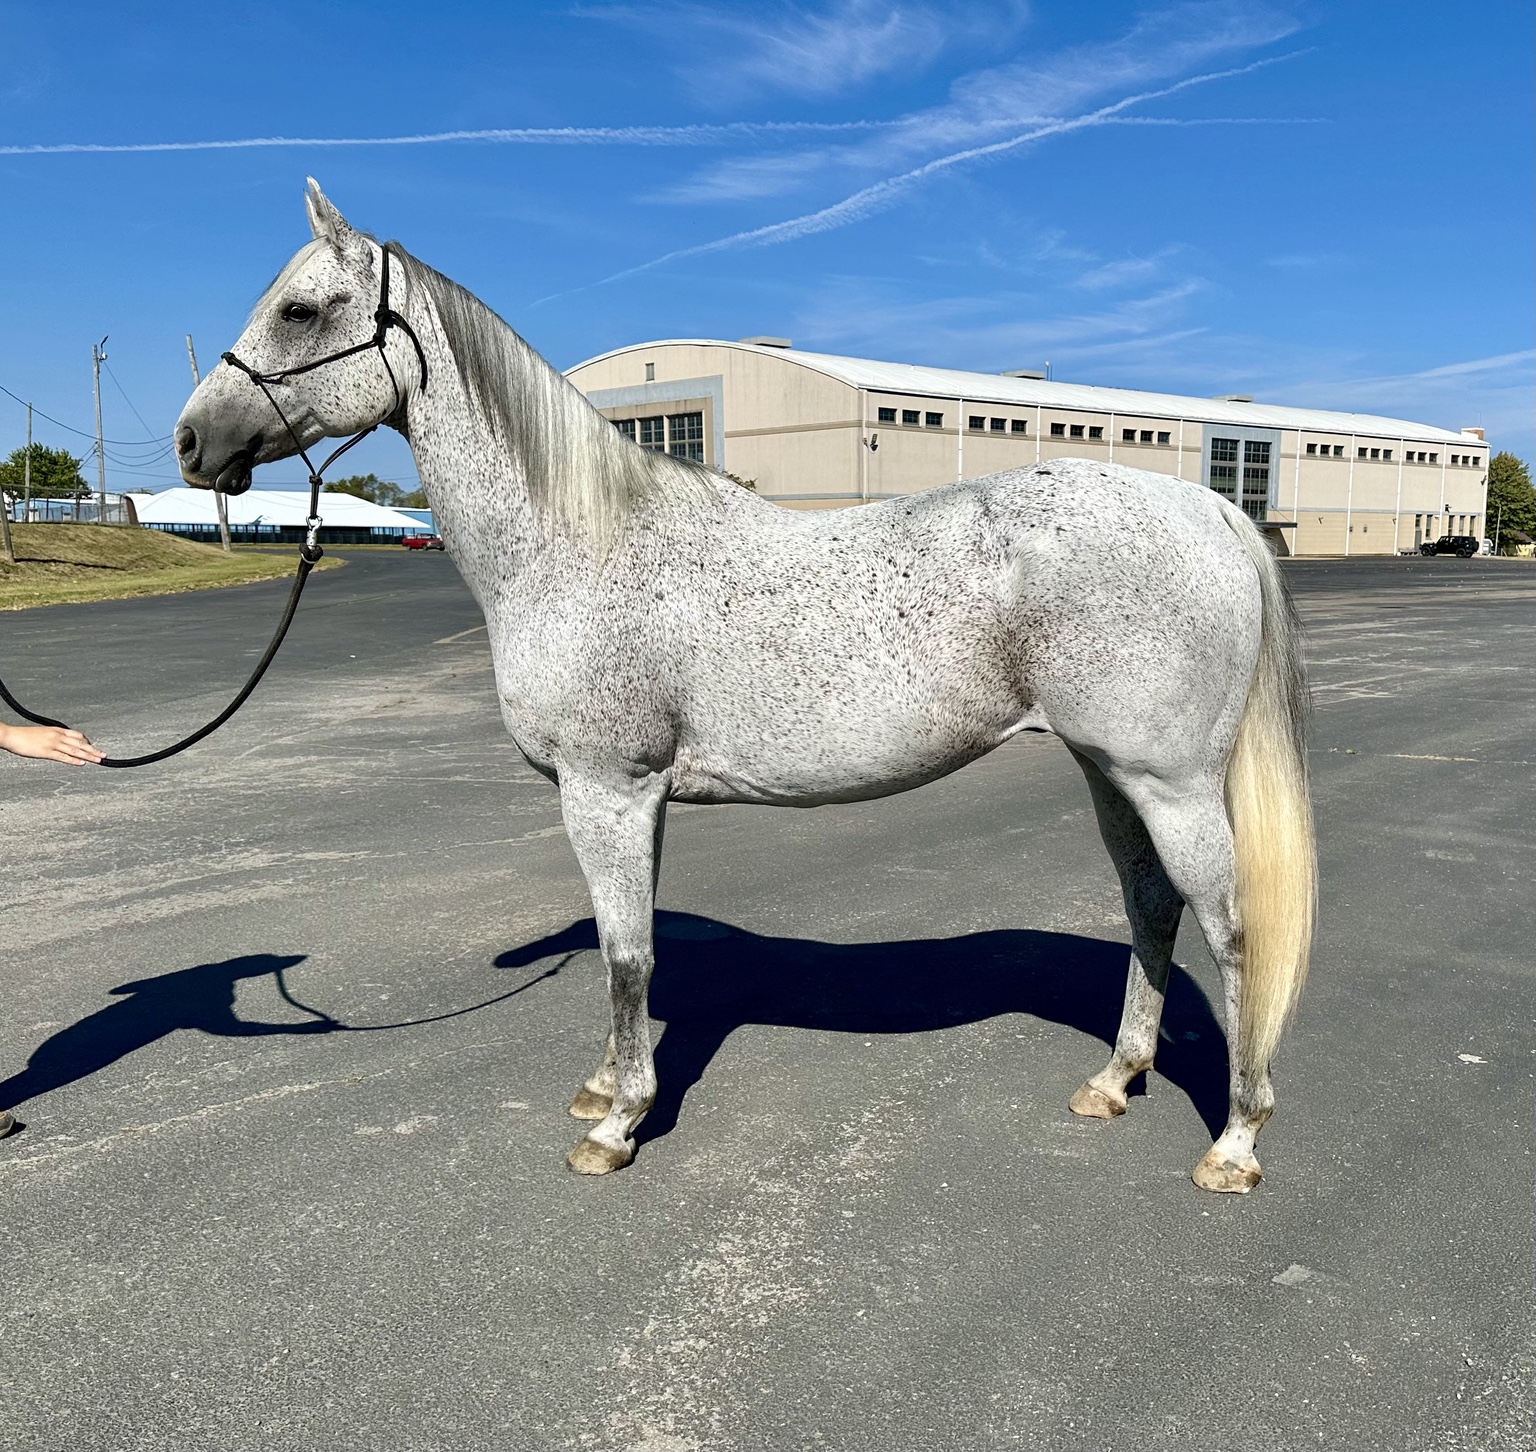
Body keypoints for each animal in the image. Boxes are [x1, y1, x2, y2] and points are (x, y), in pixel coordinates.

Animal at [174, 180, 1315, 1192]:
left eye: (301, 308)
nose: (194, 441)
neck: (578, 544)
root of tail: (1211, 511)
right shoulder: (633, 800)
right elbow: (628, 946)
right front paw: (607, 1087)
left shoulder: (607, 791)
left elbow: (626, 957)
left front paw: (617, 1127)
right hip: (1108, 771)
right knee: (1152, 905)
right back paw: (1115, 1081)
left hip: (1169, 782)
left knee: (1231, 929)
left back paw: (1236, 1142)